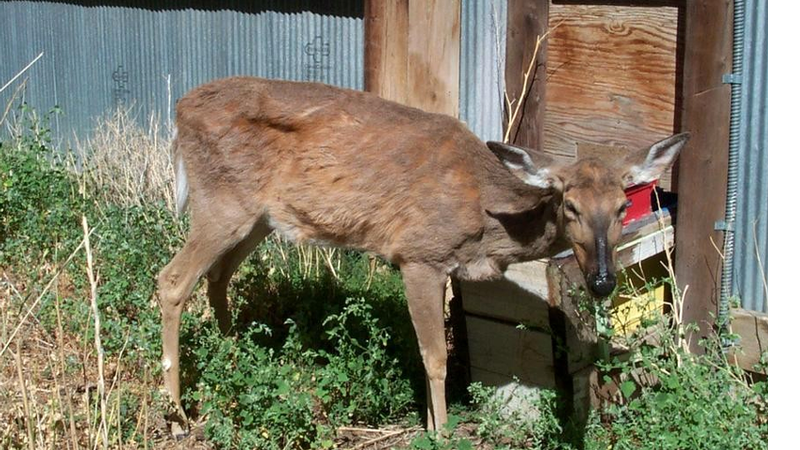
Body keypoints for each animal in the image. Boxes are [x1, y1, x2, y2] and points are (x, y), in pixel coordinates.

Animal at [158, 76, 688, 432]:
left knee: (217, 277)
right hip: (221, 202)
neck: (486, 218)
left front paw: (434, 424)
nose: (602, 281)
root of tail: (179, 111)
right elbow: (435, 357)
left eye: (622, 206)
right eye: (570, 205)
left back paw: (236, 359)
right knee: (172, 280)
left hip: (258, 218)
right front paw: (441, 432)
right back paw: (179, 414)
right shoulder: (418, 255)